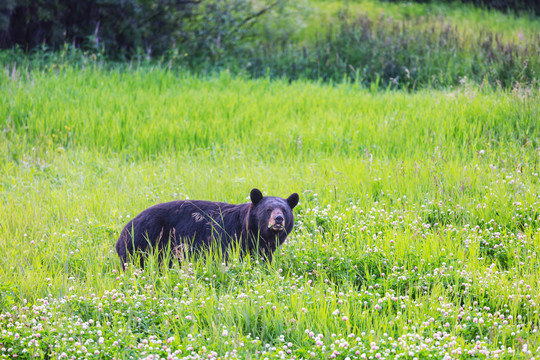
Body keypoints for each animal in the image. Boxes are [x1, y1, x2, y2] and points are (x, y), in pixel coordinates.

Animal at [116, 188, 300, 268]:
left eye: (284, 209)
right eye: (268, 209)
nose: (278, 219)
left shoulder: (264, 248)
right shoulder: (228, 237)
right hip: (143, 241)